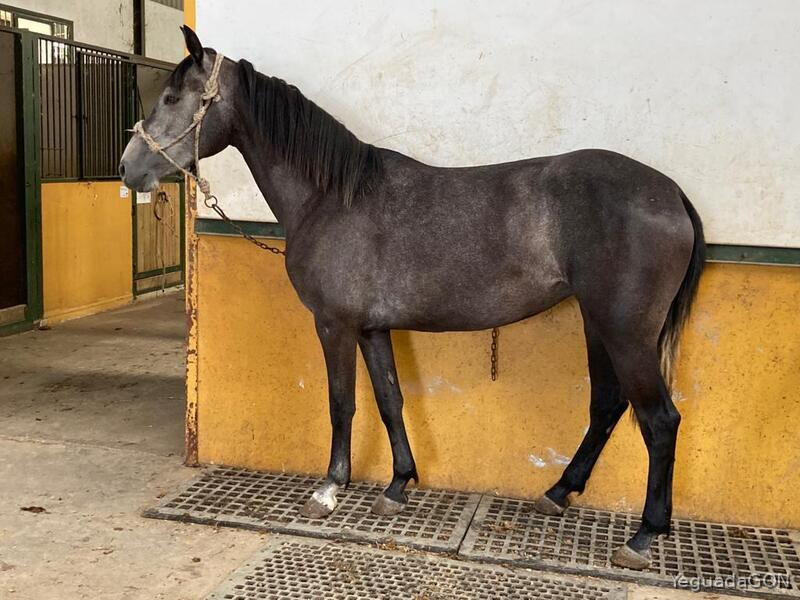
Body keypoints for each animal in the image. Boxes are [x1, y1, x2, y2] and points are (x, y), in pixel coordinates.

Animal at [120, 26, 705, 570]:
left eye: (172, 97)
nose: (128, 169)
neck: (330, 197)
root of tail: (671, 193)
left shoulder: (334, 324)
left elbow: (342, 402)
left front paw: (329, 490)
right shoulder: (372, 327)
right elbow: (390, 399)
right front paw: (398, 486)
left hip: (625, 331)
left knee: (659, 421)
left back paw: (643, 536)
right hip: (597, 323)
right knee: (607, 405)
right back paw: (559, 493)